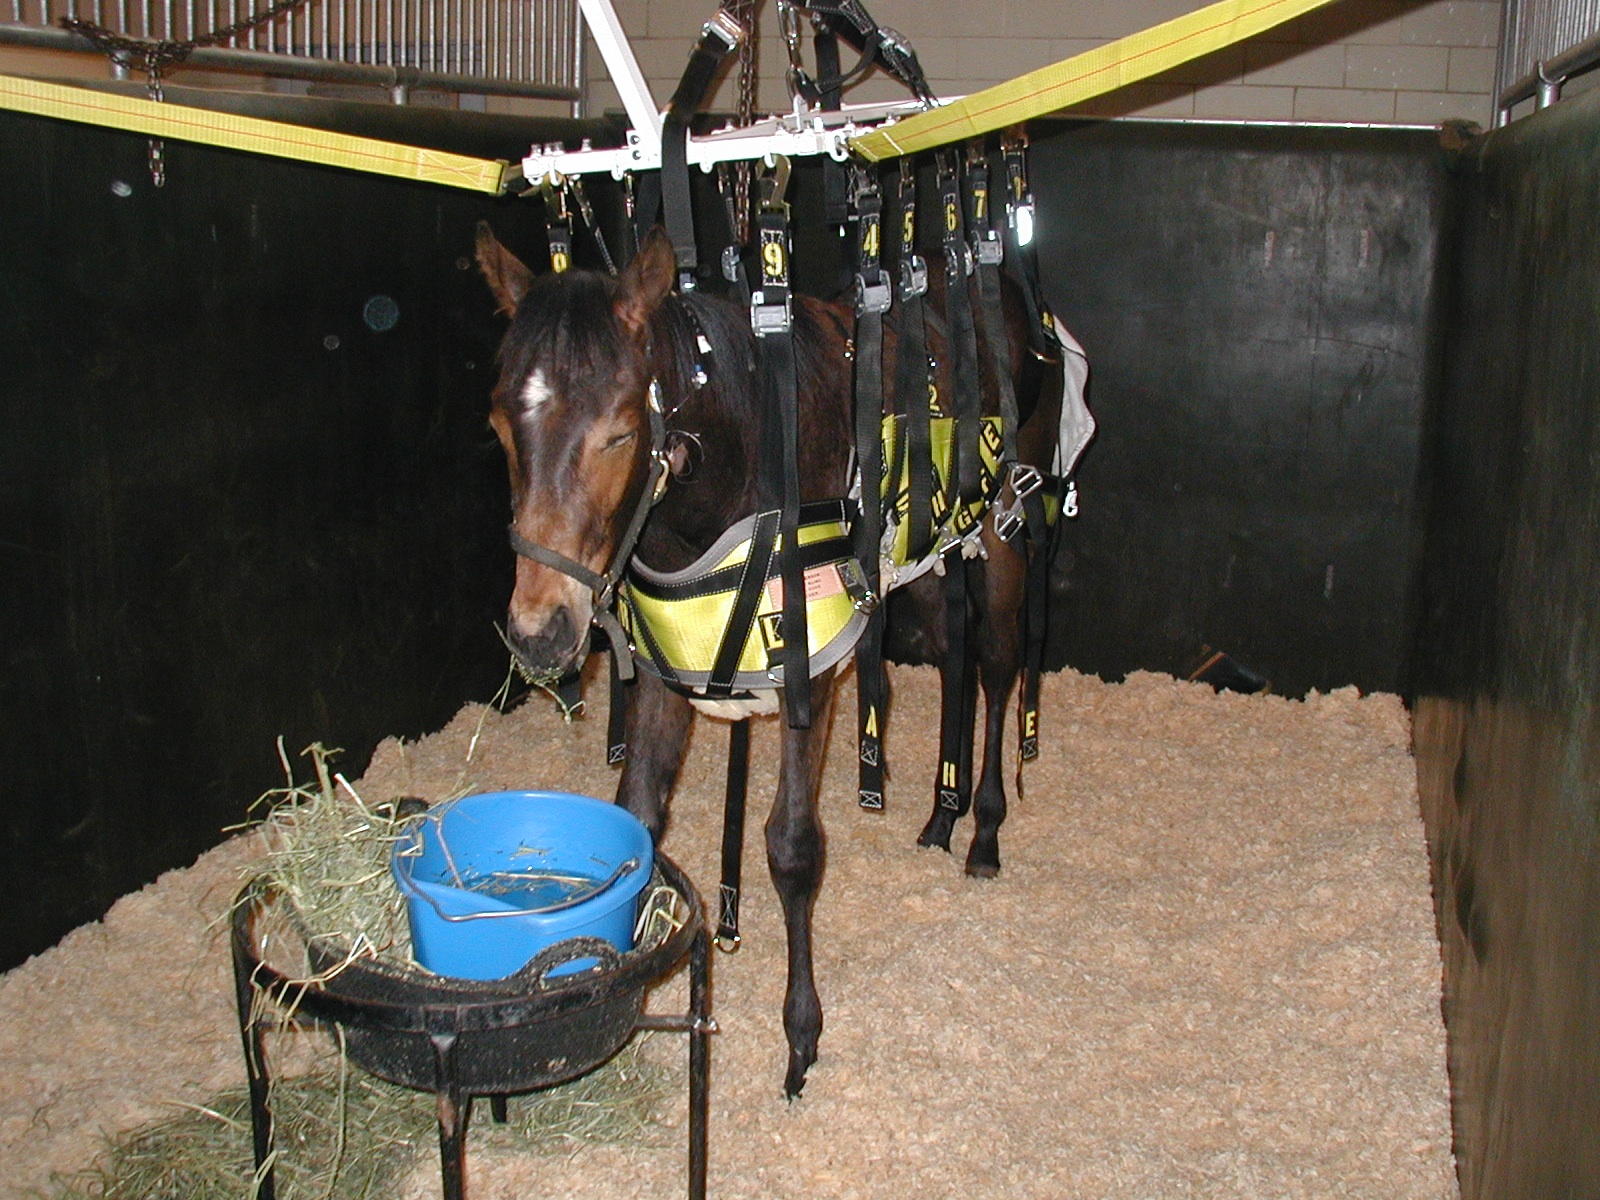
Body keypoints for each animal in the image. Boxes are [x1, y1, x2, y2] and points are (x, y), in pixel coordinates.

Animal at [474, 221, 1064, 1097]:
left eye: (620, 430)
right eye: (500, 427)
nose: (540, 630)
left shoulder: (808, 677)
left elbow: (792, 850)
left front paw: (801, 1037)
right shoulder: (666, 671)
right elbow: (638, 818)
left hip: (1000, 530)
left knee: (994, 662)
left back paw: (984, 832)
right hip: (921, 559)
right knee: (952, 654)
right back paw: (938, 816)